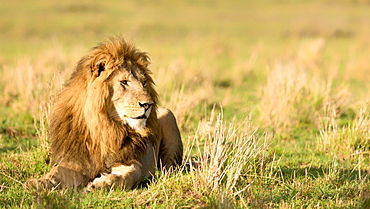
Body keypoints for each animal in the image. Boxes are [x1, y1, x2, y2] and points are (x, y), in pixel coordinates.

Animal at [28, 36, 184, 190]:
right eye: (124, 82)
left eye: (144, 82)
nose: (148, 105)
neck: (104, 126)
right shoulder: (77, 162)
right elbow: (56, 172)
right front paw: (38, 182)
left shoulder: (128, 160)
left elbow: (130, 174)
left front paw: (101, 184)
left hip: (169, 116)